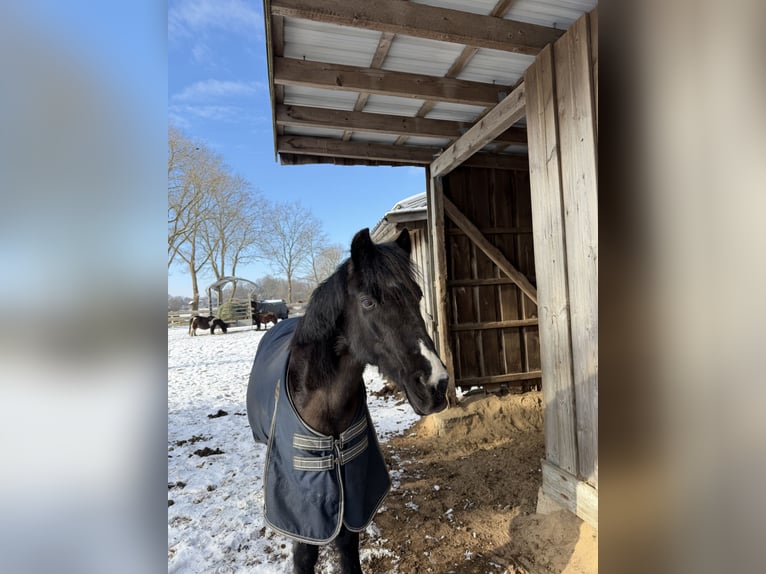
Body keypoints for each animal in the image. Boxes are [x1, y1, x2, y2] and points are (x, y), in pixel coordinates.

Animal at [247, 228, 449, 574]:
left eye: (418, 295)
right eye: (368, 302)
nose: (437, 384)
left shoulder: (352, 491)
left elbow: (347, 544)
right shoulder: (303, 509)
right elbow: (305, 553)